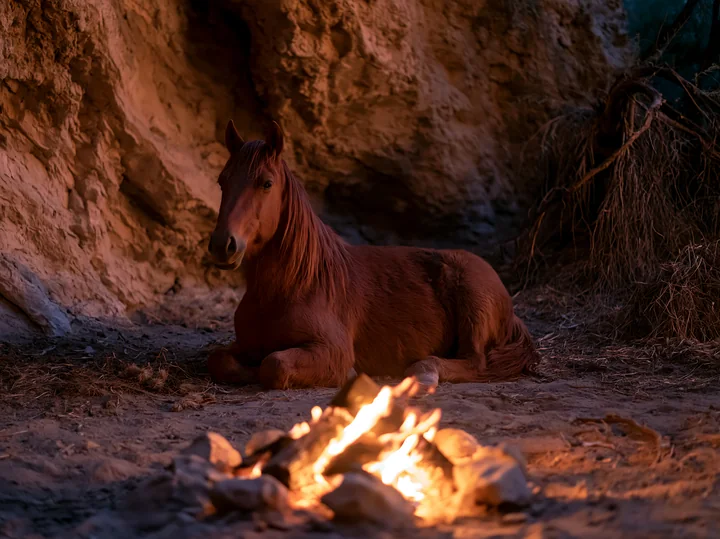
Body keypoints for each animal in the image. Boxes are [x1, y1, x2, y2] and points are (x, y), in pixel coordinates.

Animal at [206, 120, 539, 390]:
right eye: (222, 181)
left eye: (266, 183)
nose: (223, 244)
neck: (293, 285)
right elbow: (220, 358)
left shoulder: (332, 350)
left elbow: (274, 365)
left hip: (473, 300)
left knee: (474, 362)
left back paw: (423, 371)